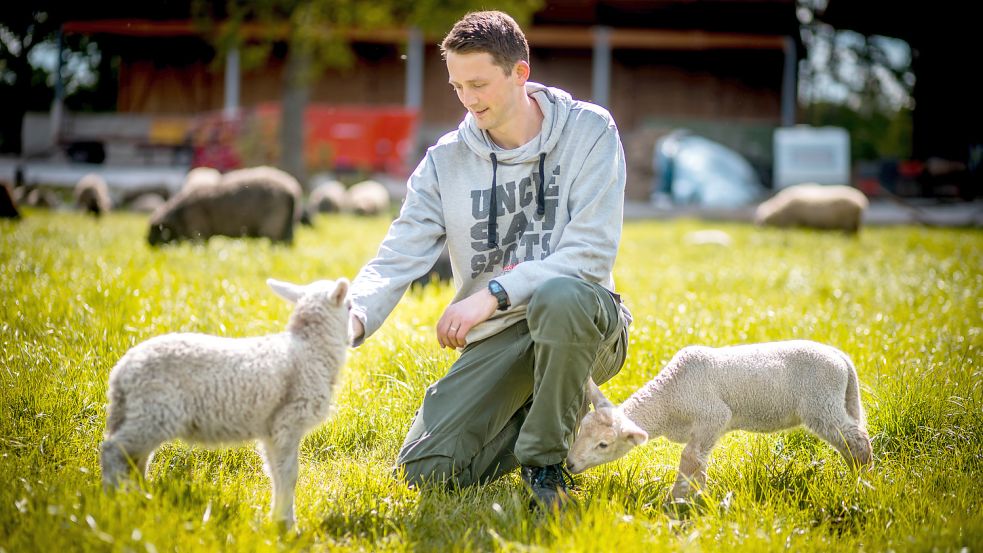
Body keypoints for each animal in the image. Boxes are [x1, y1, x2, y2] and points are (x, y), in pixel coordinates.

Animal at [99, 276, 350, 528]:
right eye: (348, 306)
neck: (310, 349)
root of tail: (121, 373)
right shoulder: (288, 422)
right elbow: (290, 474)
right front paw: (287, 524)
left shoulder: (271, 430)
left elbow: (276, 472)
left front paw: (277, 517)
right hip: (153, 412)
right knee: (113, 449)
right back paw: (114, 497)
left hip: (144, 413)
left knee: (136, 458)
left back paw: (140, 494)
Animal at [149, 165, 300, 245]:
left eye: (156, 229)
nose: (148, 242)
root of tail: (291, 191)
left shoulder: (198, 230)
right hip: (286, 226)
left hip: (273, 224)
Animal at [564, 338, 872, 498]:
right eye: (580, 431)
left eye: (603, 445)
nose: (570, 464)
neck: (668, 399)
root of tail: (840, 357)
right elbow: (698, 463)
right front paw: (695, 497)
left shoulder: (713, 417)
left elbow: (690, 459)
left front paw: (677, 501)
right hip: (835, 401)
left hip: (821, 403)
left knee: (856, 440)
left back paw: (862, 481)